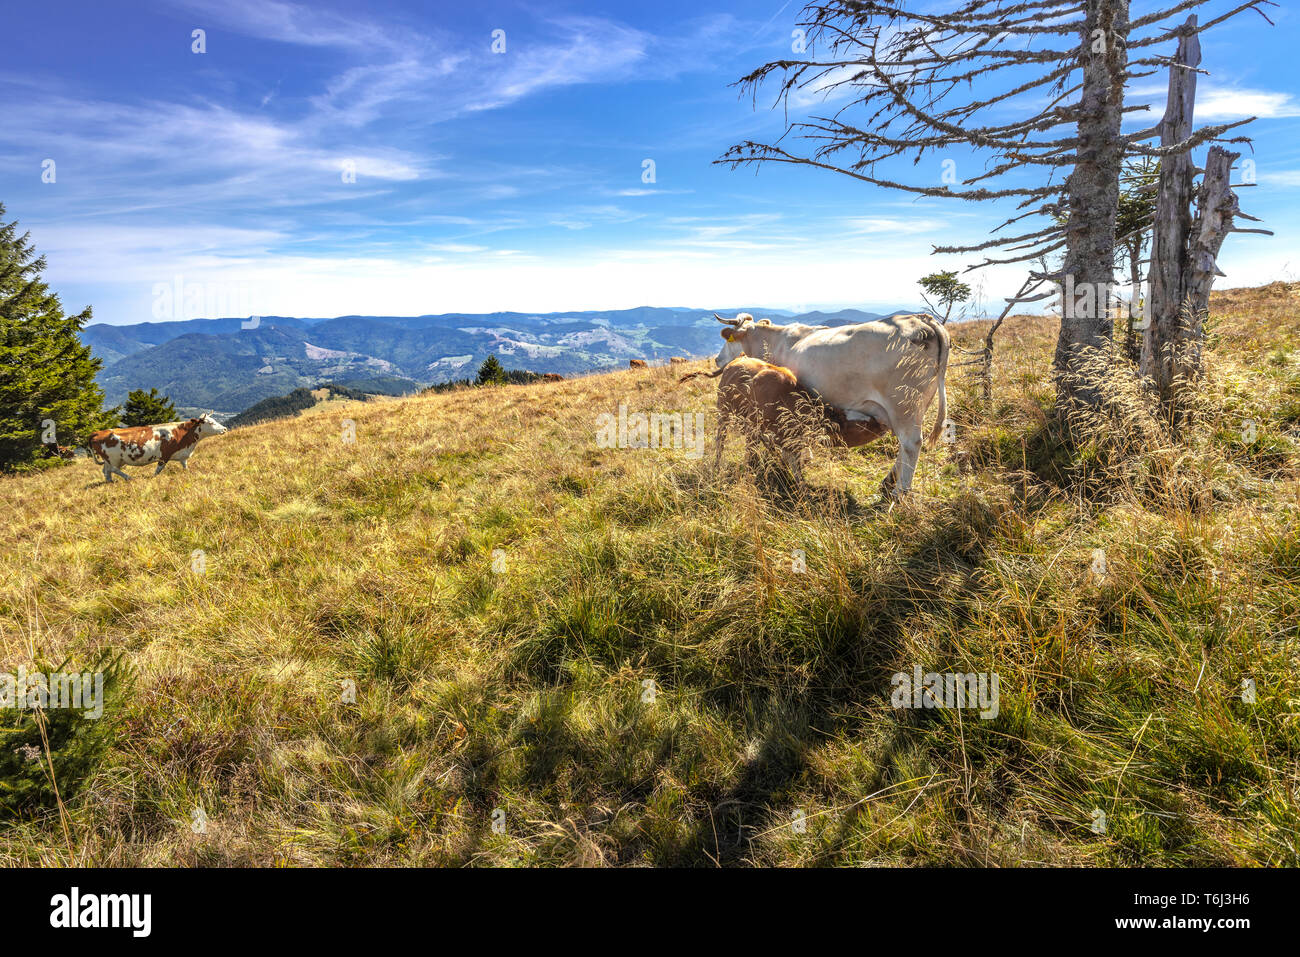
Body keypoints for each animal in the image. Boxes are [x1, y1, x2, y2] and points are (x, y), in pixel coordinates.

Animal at [89, 413, 227, 483]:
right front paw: (153, 478)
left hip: (109, 460)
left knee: (106, 471)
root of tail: (98, 432)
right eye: (210, 422)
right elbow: (158, 470)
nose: (225, 429)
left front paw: (188, 473)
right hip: (114, 459)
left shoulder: (182, 455)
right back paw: (128, 478)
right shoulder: (164, 456)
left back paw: (110, 482)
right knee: (113, 469)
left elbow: (185, 466)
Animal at [681, 357, 887, 483]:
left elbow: (795, 464)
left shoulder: (787, 439)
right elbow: (750, 457)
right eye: (863, 424)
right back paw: (716, 465)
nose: (883, 422)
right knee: (720, 440)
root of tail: (739, 358)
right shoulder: (754, 429)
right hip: (723, 412)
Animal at [714, 312, 949, 498]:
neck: (774, 341)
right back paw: (887, 482)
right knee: (904, 446)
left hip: (903, 404)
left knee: (911, 444)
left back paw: (899, 494)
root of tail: (921, 319)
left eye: (729, 340)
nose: (716, 359)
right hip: (917, 408)